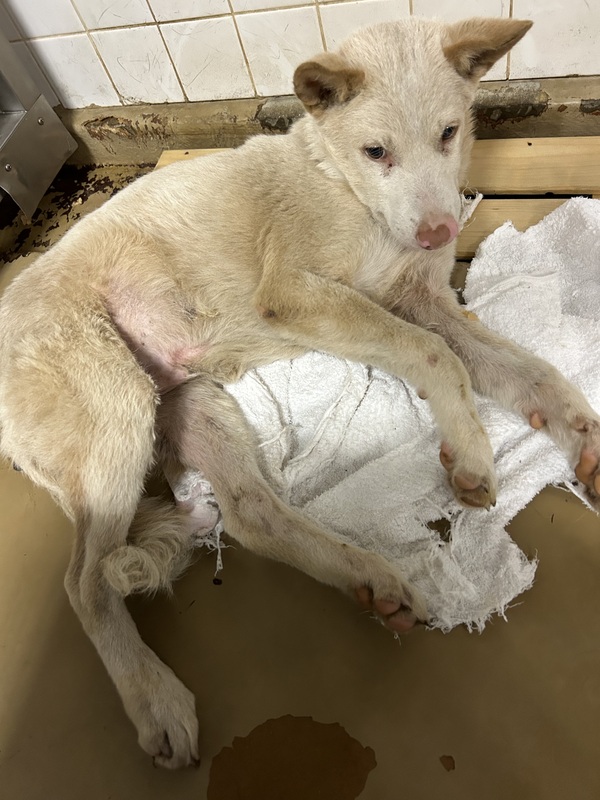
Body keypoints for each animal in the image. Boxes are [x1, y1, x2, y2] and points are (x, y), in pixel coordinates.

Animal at [1, 17, 599, 769]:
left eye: (449, 132)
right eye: (376, 151)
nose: (441, 233)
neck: (341, 184)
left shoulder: (419, 300)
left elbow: (526, 371)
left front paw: (579, 437)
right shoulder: (300, 294)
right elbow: (435, 357)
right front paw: (468, 449)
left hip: (194, 404)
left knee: (254, 517)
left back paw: (368, 577)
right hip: (114, 416)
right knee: (83, 584)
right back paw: (154, 696)